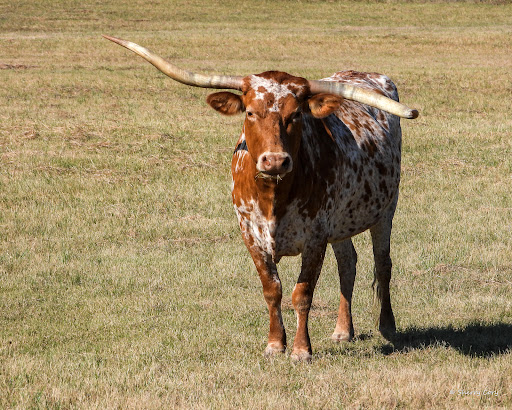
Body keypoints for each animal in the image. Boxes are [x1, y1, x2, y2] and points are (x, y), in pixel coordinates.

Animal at [102, 36, 418, 362]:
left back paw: (388, 326)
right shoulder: (250, 234)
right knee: (348, 263)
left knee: (382, 264)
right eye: (250, 112)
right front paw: (275, 344)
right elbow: (272, 289)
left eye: (296, 114)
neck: (273, 197)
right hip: (342, 222)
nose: (275, 160)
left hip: (386, 210)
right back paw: (343, 330)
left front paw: (301, 350)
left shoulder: (315, 236)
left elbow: (302, 294)